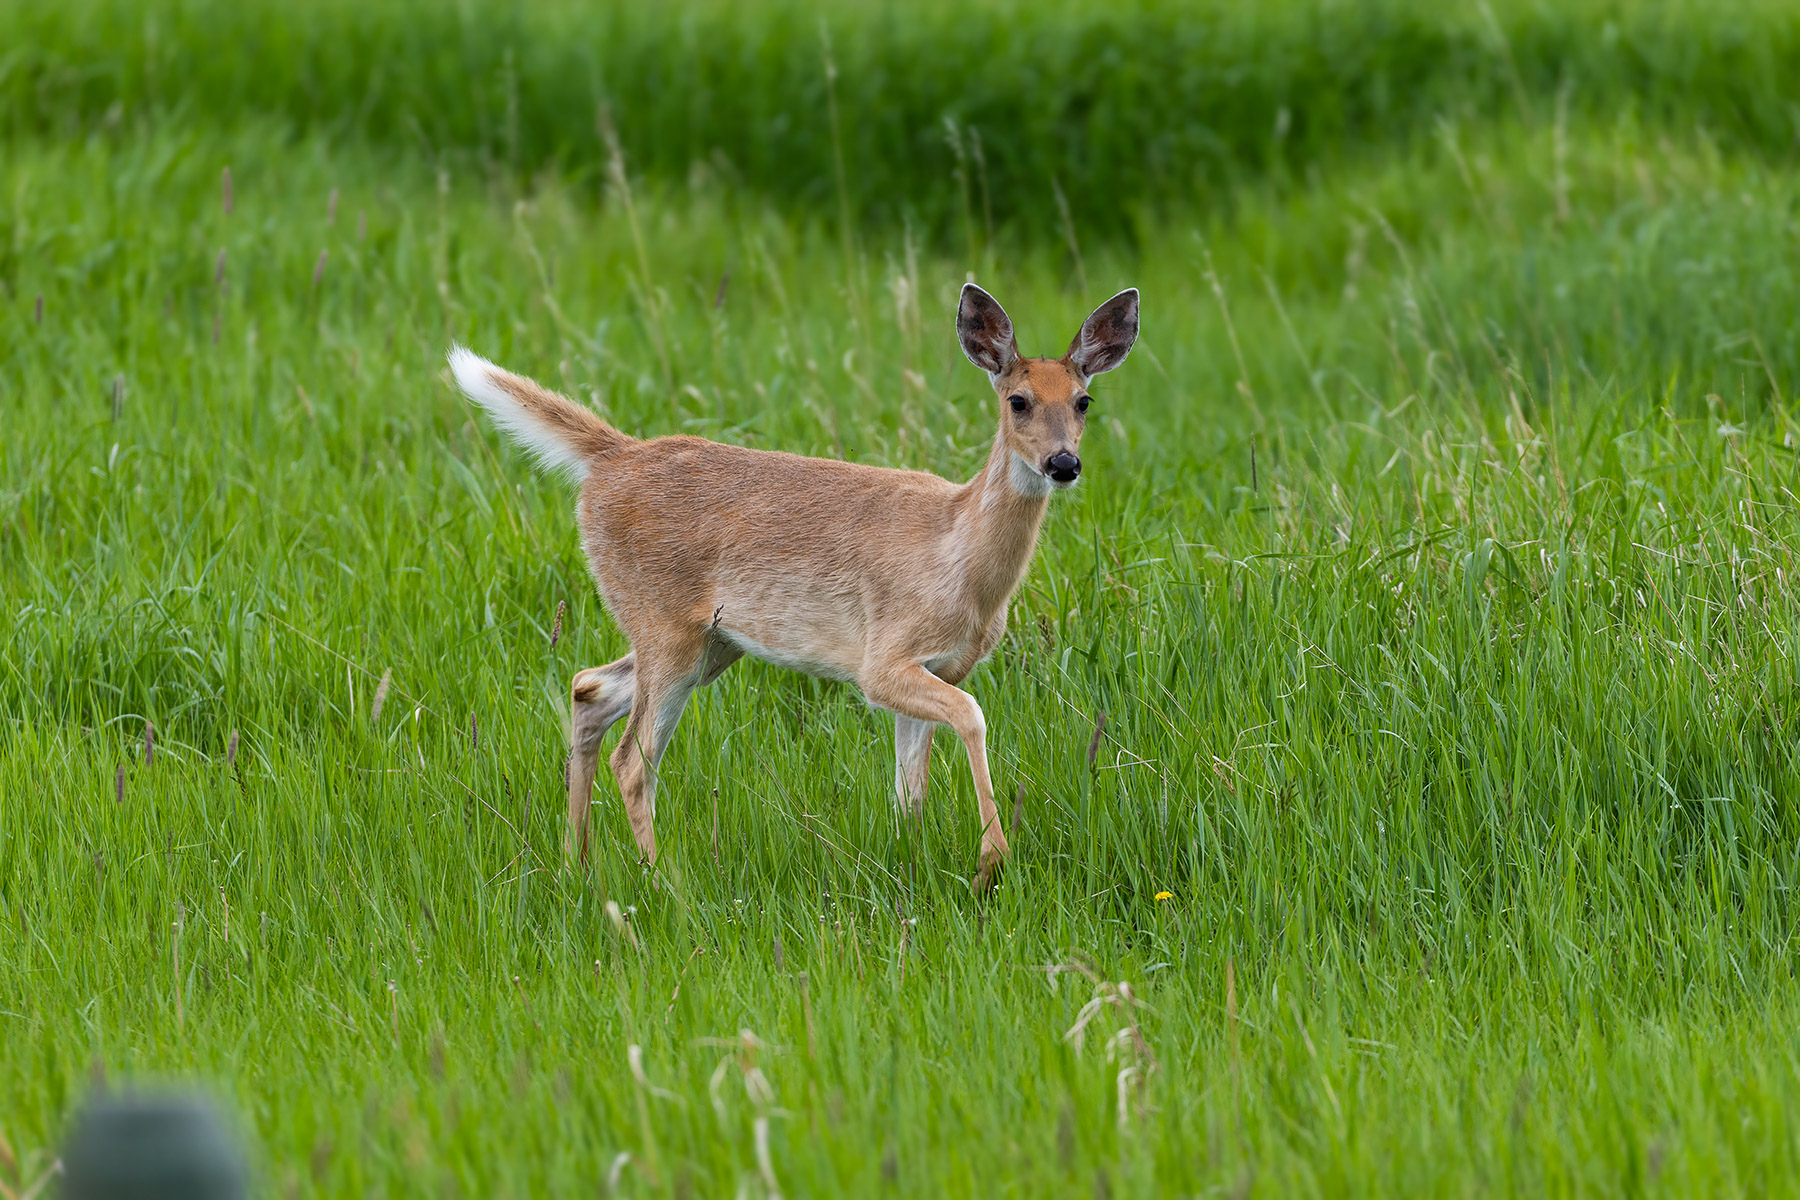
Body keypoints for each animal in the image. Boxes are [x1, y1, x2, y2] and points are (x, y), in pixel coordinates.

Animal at [448, 283, 1138, 890]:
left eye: (1083, 401)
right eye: (1018, 400)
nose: (1063, 463)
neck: (958, 557)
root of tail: (612, 457)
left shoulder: (941, 666)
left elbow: (909, 790)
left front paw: (917, 865)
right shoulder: (882, 660)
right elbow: (972, 717)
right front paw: (992, 861)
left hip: (710, 643)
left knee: (588, 687)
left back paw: (577, 864)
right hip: (664, 625)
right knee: (633, 761)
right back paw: (667, 885)